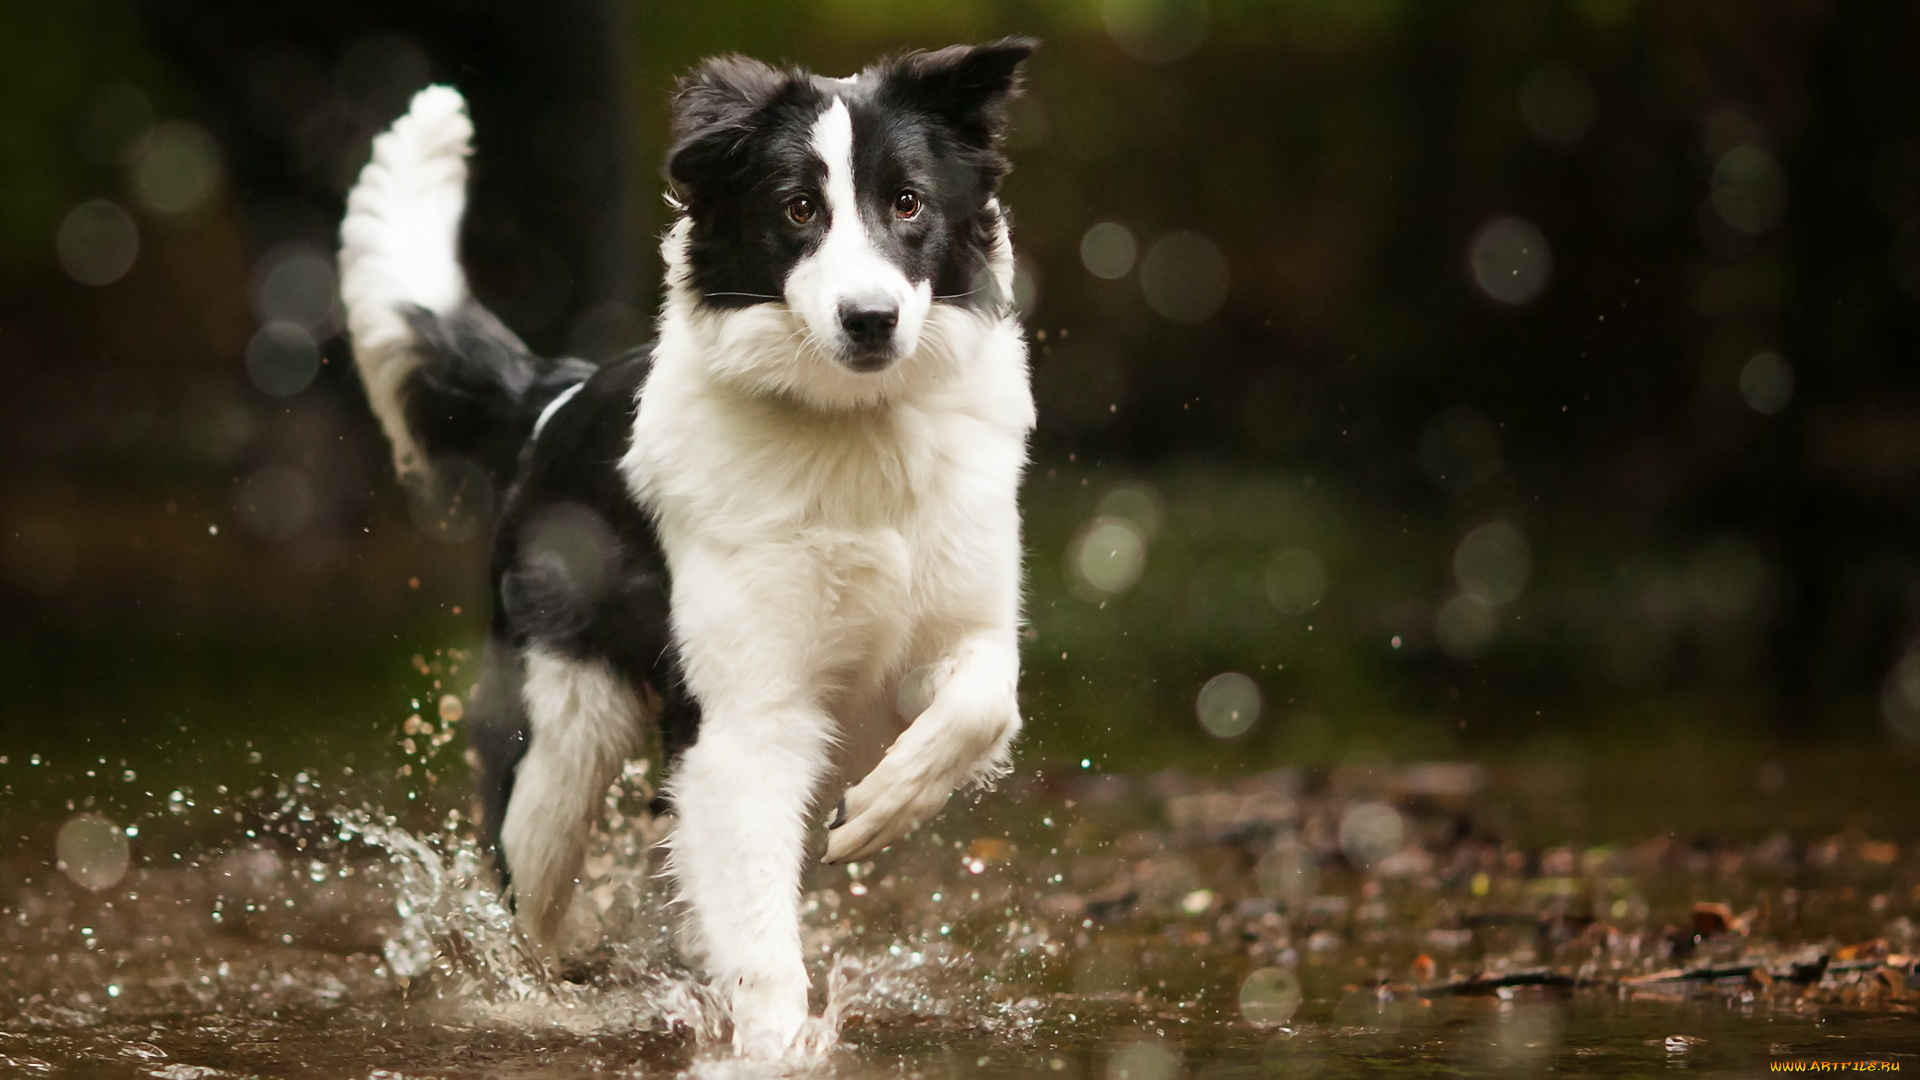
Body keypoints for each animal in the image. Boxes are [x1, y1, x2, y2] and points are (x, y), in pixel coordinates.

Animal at [337, 39, 1044, 1053]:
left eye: (908, 201)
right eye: (798, 208)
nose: (870, 320)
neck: (854, 428)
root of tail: (558, 395)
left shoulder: (958, 630)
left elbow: (982, 706)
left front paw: (880, 809)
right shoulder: (745, 720)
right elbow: (758, 928)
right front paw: (775, 1050)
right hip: (559, 748)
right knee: (529, 897)